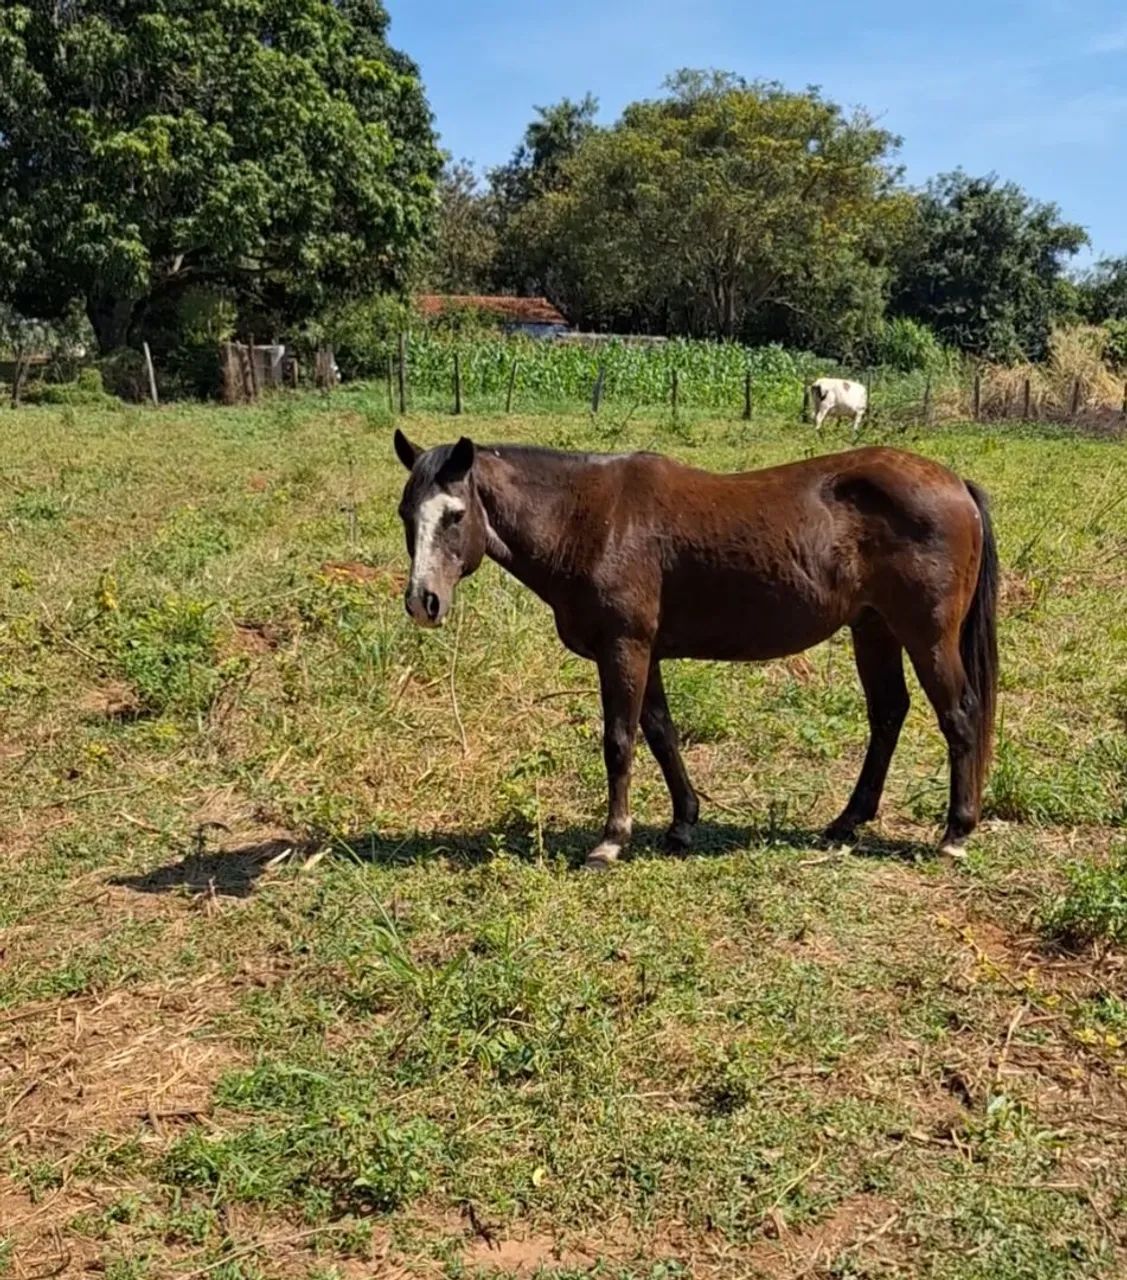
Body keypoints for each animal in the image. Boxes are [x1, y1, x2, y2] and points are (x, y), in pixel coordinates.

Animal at [393, 431, 998, 870]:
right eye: (405, 514)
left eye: (455, 514)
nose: (423, 602)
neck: (588, 521)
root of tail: (955, 484)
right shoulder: (647, 652)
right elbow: (661, 733)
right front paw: (683, 821)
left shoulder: (624, 649)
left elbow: (620, 741)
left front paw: (611, 840)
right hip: (873, 629)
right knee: (888, 713)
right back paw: (846, 822)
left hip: (926, 637)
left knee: (959, 716)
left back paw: (955, 832)